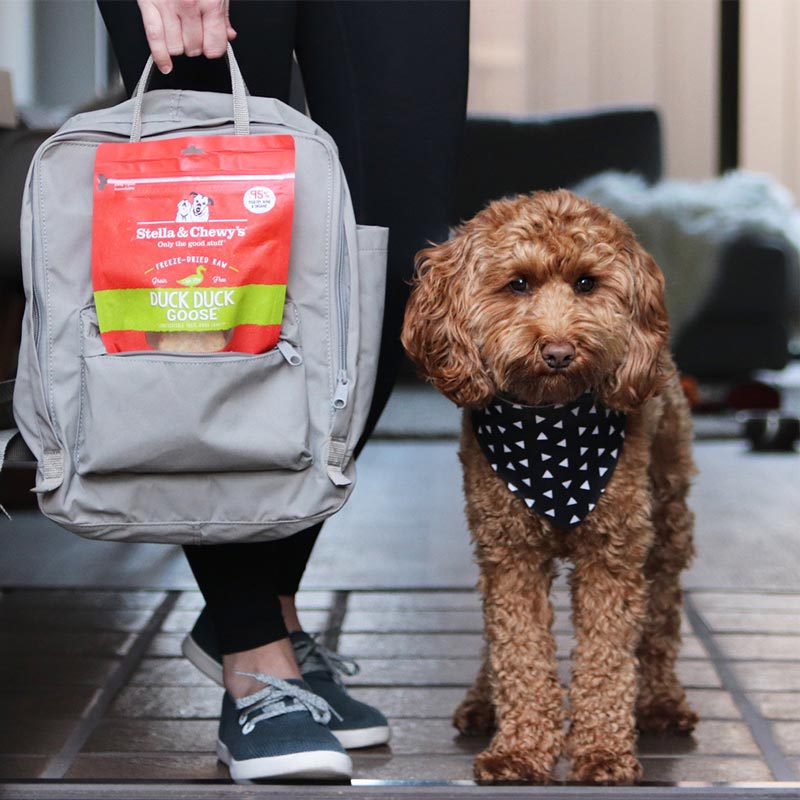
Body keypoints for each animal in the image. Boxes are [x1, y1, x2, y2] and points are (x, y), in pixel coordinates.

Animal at [404, 191, 696, 784]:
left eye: (587, 283)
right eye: (518, 284)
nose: (559, 351)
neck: (550, 434)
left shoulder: (613, 555)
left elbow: (608, 659)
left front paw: (603, 752)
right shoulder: (509, 552)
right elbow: (518, 649)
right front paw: (518, 750)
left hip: (669, 520)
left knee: (661, 615)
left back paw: (660, 701)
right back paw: (482, 701)